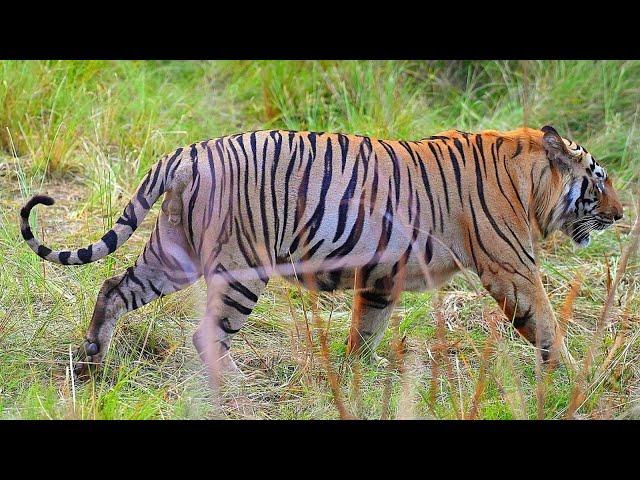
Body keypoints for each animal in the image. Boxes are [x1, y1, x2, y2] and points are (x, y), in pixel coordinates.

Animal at [18, 125, 620, 380]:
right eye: (600, 179)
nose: (619, 215)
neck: (532, 182)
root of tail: (190, 151)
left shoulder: (382, 273)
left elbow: (367, 325)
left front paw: (356, 372)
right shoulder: (512, 268)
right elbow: (546, 323)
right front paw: (576, 378)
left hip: (172, 250)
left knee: (113, 287)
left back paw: (91, 360)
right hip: (241, 268)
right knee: (206, 335)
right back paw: (234, 385)